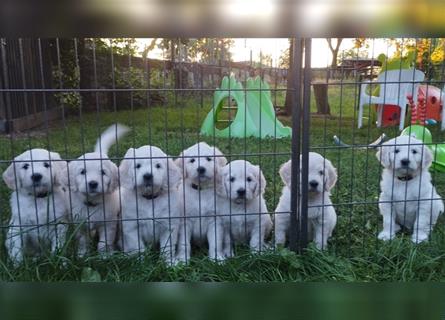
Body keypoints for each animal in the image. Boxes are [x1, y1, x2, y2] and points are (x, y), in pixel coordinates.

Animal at [64, 124, 130, 256]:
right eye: (83, 172)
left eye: (103, 172)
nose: (93, 184)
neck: (92, 204)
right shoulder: (79, 224)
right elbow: (82, 242)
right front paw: (82, 255)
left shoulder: (109, 223)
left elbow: (104, 243)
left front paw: (105, 256)